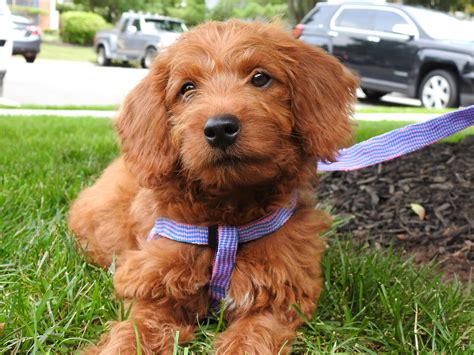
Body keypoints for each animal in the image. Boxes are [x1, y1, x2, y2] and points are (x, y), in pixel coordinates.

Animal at [69, 20, 356, 354]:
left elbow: (253, 338)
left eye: (260, 78)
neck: (224, 226)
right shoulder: (151, 285)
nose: (220, 128)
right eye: (187, 88)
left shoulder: (281, 296)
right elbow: (136, 330)